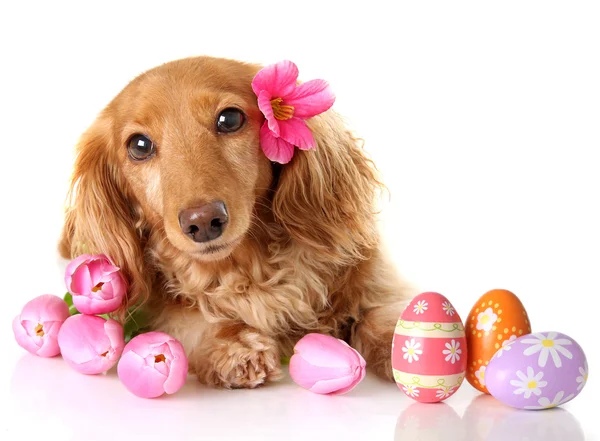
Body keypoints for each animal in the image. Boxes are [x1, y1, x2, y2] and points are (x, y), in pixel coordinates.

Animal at [58, 55, 410, 388]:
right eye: (139, 145)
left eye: (229, 119)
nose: (203, 222)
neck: (251, 269)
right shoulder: (165, 309)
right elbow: (194, 319)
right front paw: (235, 345)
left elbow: (381, 311)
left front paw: (404, 341)